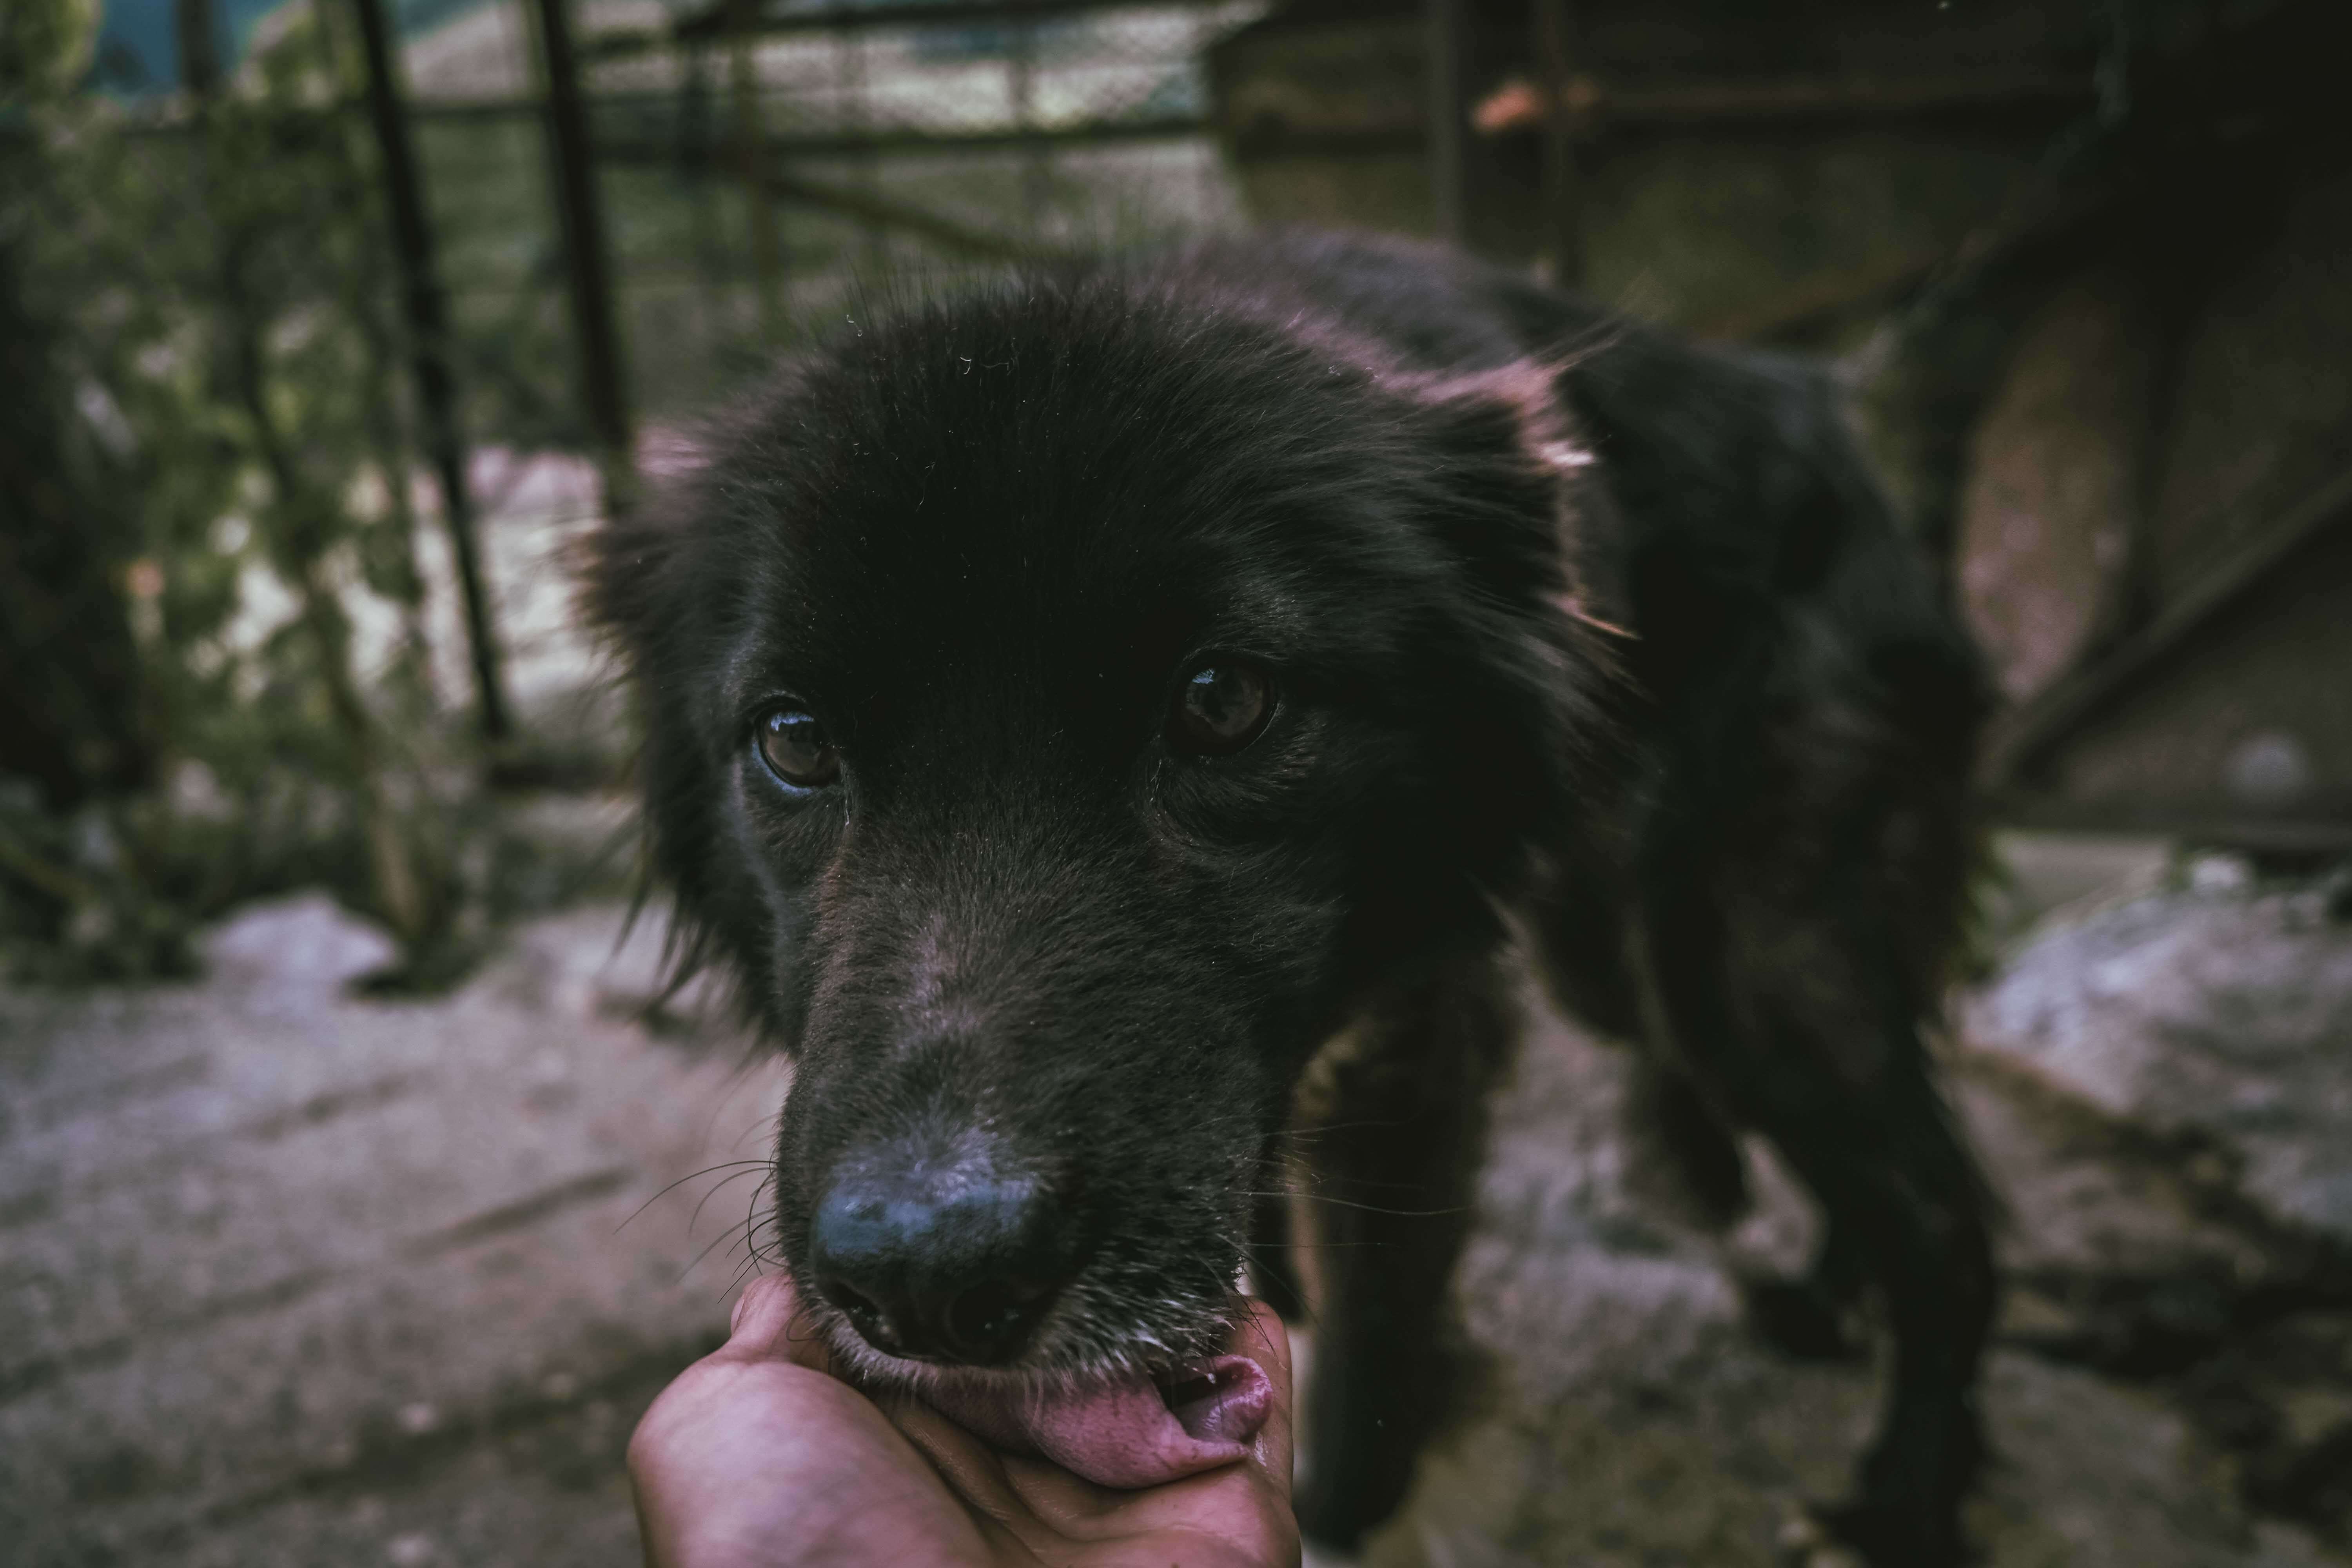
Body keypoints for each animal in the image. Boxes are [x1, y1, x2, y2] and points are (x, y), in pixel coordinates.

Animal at [597, 227, 1994, 1561]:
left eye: (1222, 701)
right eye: (792, 739)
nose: (928, 1284)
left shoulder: (1404, 1049)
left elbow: (1369, 1372)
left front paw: (1351, 1497)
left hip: (1718, 950)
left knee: (1942, 1202)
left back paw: (1899, 1508)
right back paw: (1825, 1300)